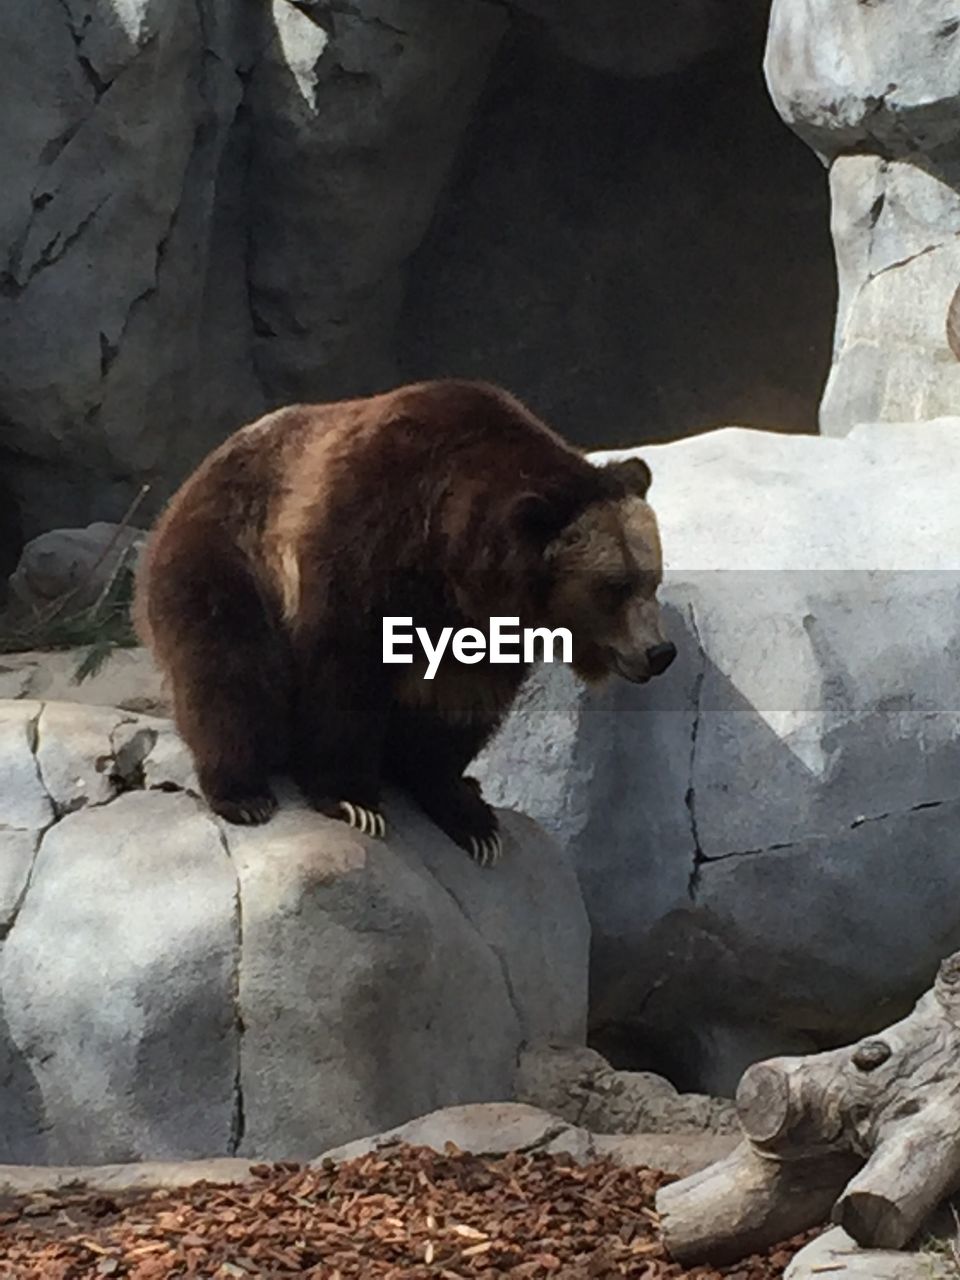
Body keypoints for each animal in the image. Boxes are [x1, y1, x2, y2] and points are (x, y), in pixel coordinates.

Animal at [135, 373, 675, 865]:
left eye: (651, 578)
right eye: (613, 587)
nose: (659, 652)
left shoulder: (480, 628)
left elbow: (457, 708)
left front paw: (469, 817)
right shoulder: (367, 544)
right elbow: (344, 675)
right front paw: (353, 800)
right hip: (226, 552)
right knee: (229, 664)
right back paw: (242, 791)